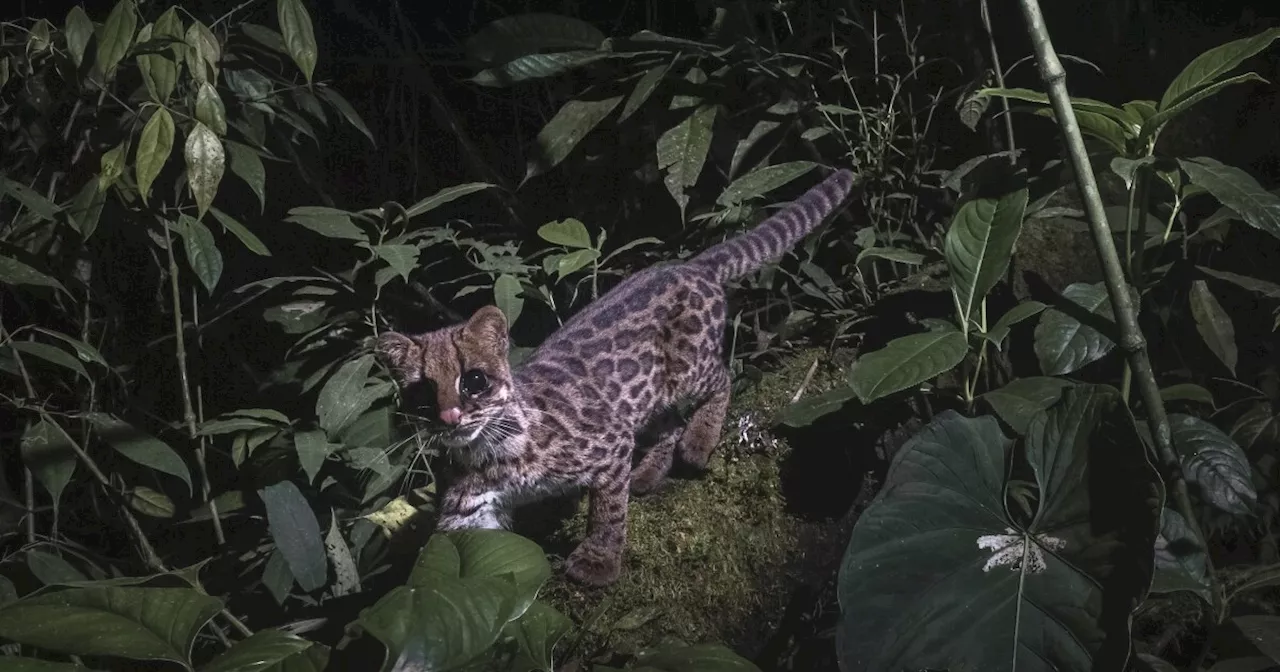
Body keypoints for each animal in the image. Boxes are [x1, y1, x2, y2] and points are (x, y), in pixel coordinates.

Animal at [373, 168, 855, 586]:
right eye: (421, 393)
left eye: (473, 381)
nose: (449, 418)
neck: (489, 451)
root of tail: (691, 265)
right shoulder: (468, 511)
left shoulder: (608, 442)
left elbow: (606, 509)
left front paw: (598, 559)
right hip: (645, 392)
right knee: (669, 421)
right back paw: (648, 473)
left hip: (687, 369)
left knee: (721, 379)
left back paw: (699, 441)